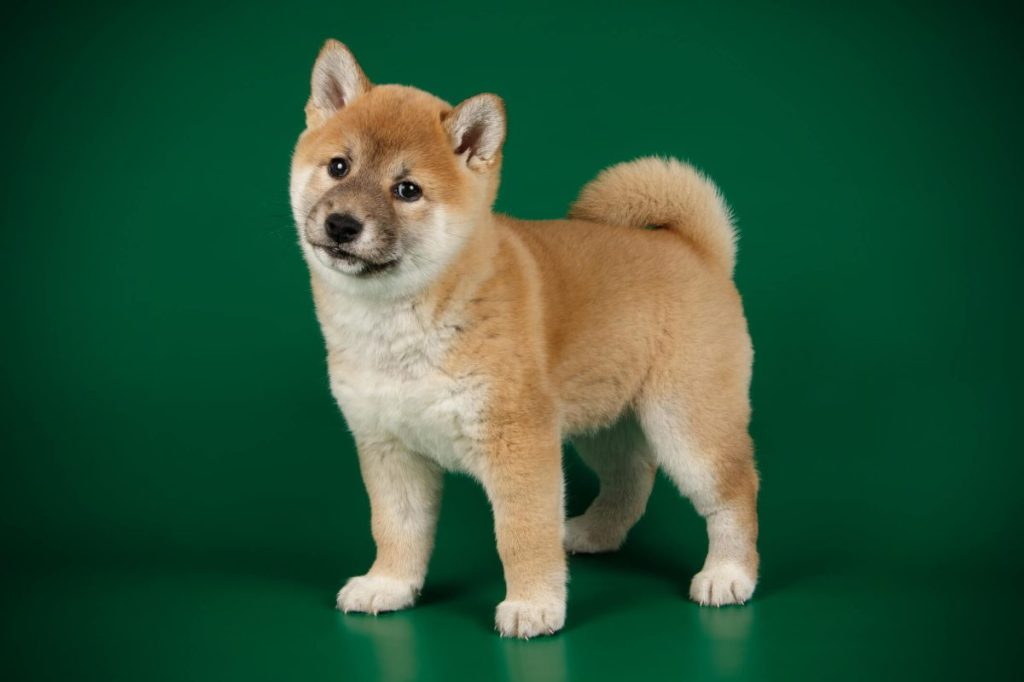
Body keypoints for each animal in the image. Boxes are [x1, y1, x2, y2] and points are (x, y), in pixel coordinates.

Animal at [288, 39, 761, 638]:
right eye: (338, 166)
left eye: (407, 190)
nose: (342, 224)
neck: (398, 322)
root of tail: (697, 250)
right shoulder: (389, 447)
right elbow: (396, 528)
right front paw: (388, 584)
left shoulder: (519, 444)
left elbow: (522, 535)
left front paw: (534, 604)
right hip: (603, 421)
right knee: (632, 476)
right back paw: (593, 533)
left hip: (685, 423)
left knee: (734, 490)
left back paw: (728, 573)